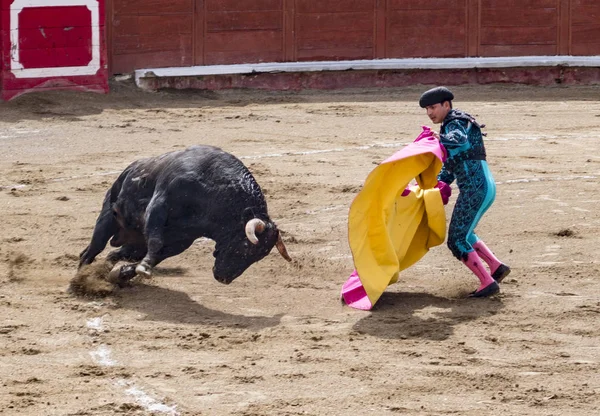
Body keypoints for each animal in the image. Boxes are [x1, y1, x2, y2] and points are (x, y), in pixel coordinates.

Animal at [77, 145, 292, 284]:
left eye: (259, 257)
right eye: (246, 246)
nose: (224, 279)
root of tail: (129, 169)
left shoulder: (182, 241)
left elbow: (157, 255)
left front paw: (124, 273)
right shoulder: (159, 206)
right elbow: (156, 242)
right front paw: (143, 268)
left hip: (134, 244)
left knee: (114, 254)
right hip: (107, 218)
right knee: (93, 249)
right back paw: (80, 278)